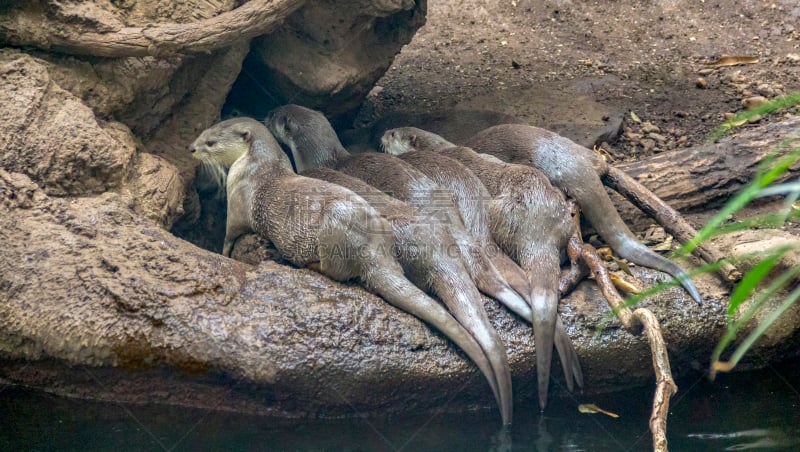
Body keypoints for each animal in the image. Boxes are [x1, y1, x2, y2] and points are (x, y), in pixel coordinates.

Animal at [191, 118, 510, 426]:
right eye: (204, 132)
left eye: (211, 142)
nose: (192, 149)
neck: (258, 167)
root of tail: (370, 249)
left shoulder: (238, 200)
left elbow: (230, 235)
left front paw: (223, 250)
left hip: (332, 229)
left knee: (337, 273)